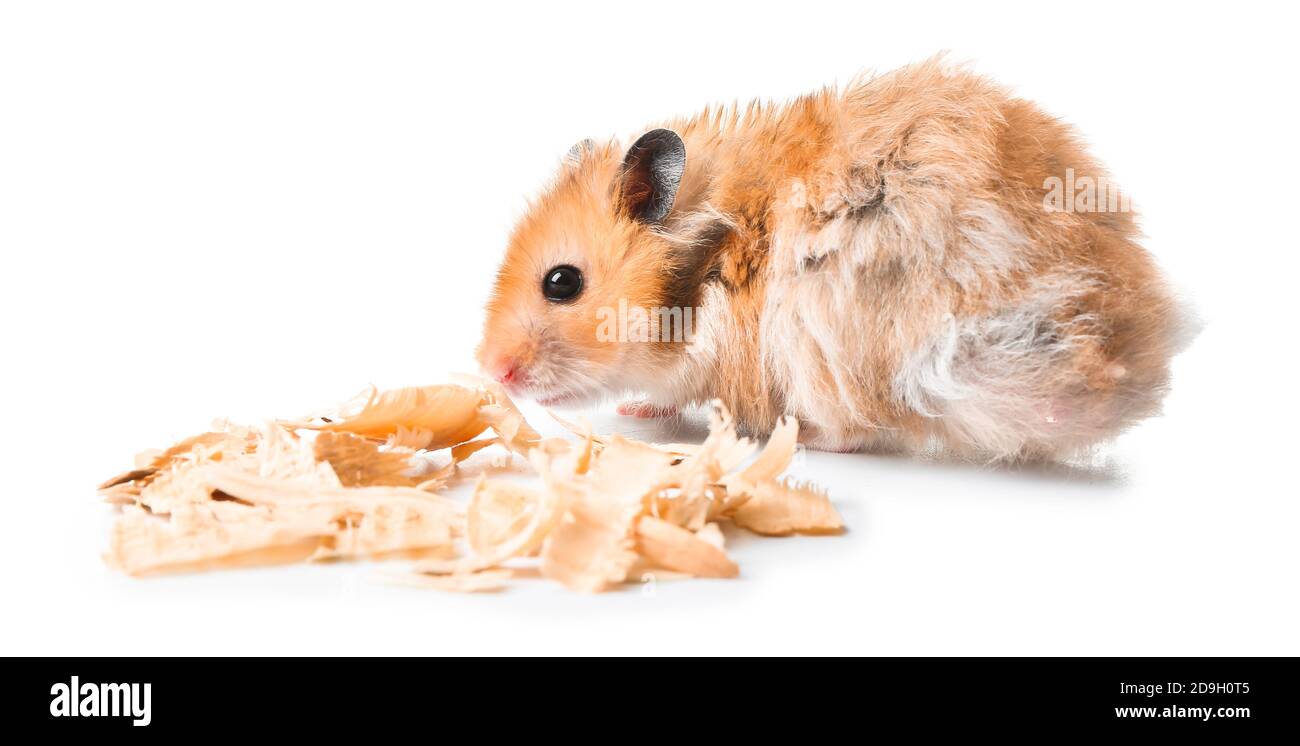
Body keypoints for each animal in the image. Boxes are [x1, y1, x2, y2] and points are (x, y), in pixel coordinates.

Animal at [475, 58, 1190, 460]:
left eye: (561, 283)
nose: (492, 372)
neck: (707, 264)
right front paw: (634, 412)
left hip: (837, 347)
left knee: (865, 427)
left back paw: (805, 441)